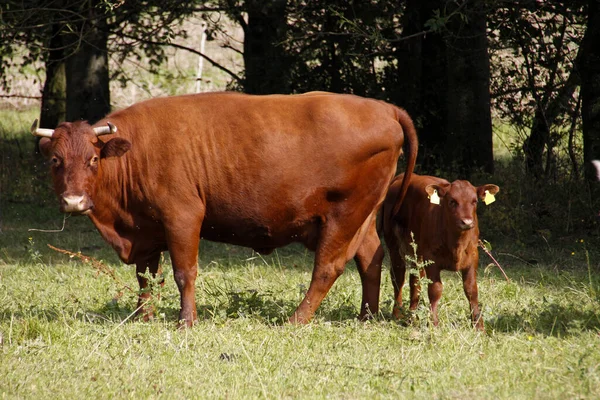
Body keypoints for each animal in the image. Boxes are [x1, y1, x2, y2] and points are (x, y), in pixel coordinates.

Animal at [32, 92, 418, 326]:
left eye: (93, 159)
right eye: (55, 160)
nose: (74, 201)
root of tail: (383, 108)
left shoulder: (183, 217)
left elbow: (183, 273)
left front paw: (186, 321)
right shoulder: (145, 230)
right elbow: (146, 277)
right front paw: (144, 316)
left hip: (343, 216)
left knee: (328, 267)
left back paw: (296, 319)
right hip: (362, 217)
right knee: (371, 258)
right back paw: (366, 315)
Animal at [382, 173, 500, 330]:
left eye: (474, 201)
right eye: (452, 201)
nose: (467, 222)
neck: (456, 244)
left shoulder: (473, 257)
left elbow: (471, 290)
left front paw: (478, 325)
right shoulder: (432, 259)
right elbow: (435, 290)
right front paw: (434, 323)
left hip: (417, 254)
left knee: (415, 280)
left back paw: (412, 316)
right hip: (394, 244)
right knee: (398, 277)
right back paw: (397, 313)